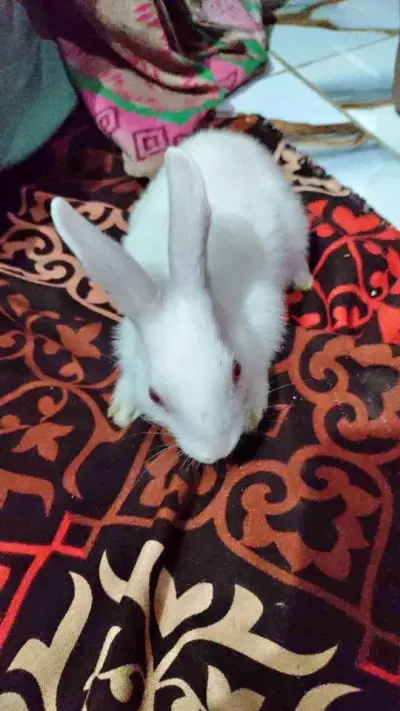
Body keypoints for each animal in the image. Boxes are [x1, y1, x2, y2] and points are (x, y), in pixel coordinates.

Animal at [51, 128, 312, 465]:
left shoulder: (264, 316)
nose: (217, 451)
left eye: (236, 369)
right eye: (155, 396)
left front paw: (254, 407)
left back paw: (304, 280)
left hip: (294, 224)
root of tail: (224, 135)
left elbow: (262, 362)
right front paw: (122, 407)